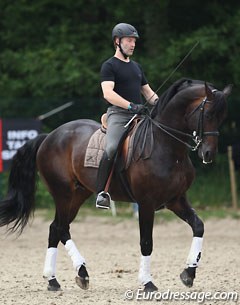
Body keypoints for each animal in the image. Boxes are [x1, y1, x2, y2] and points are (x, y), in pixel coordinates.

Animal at [0, 79, 232, 292]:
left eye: (222, 118)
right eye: (208, 115)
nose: (208, 154)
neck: (166, 146)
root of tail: (49, 136)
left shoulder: (176, 200)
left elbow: (198, 226)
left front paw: (188, 273)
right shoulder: (146, 204)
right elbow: (146, 241)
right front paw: (147, 282)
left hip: (78, 195)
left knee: (57, 228)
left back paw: (57, 279)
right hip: (63, 194)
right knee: (60, 228)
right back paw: (76, 273)